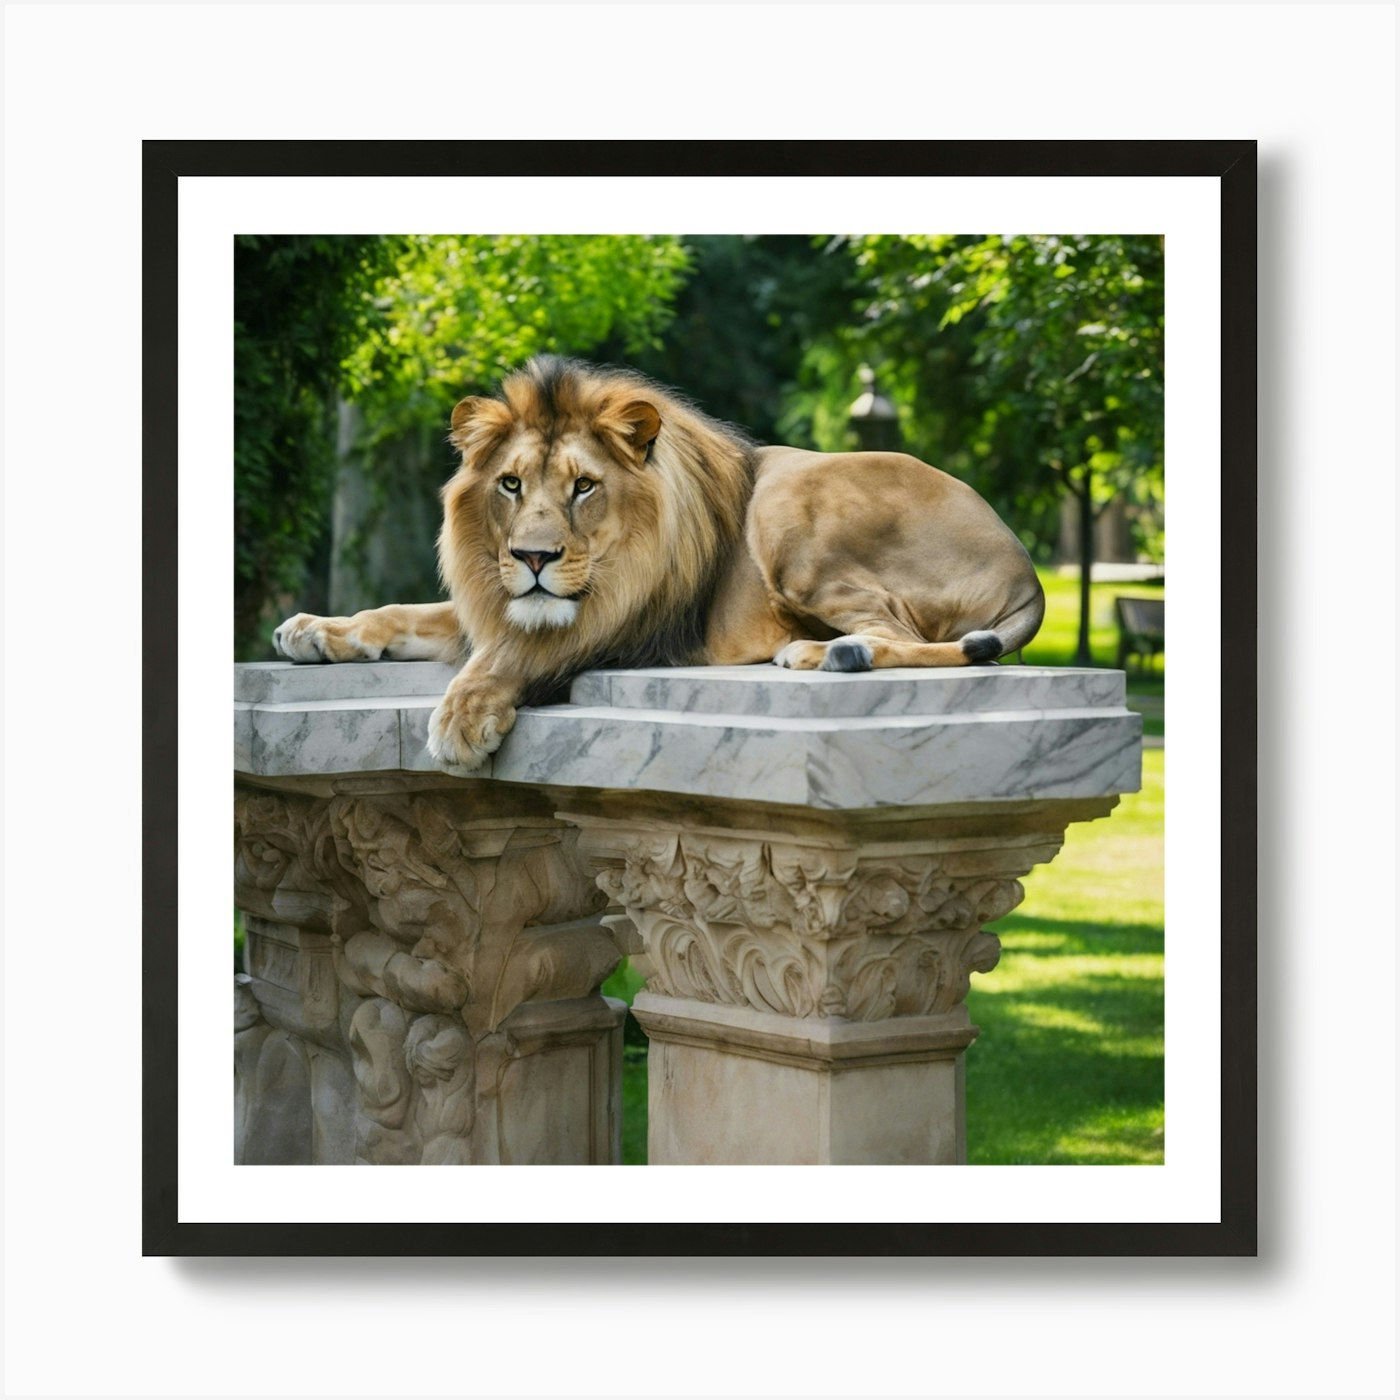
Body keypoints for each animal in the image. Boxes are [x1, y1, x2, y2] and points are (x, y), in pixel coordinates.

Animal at [274, 356, 1044, 771]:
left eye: (584, 486)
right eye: (511, 484)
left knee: (900, 633)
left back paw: (825, 652)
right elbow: (399, 612)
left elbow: (511, 656)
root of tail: (1028, 572)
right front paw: (312, 630)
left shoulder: (626, 627)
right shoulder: (494, 602)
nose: (532, 557)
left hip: (789, 500)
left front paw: (461, 719)